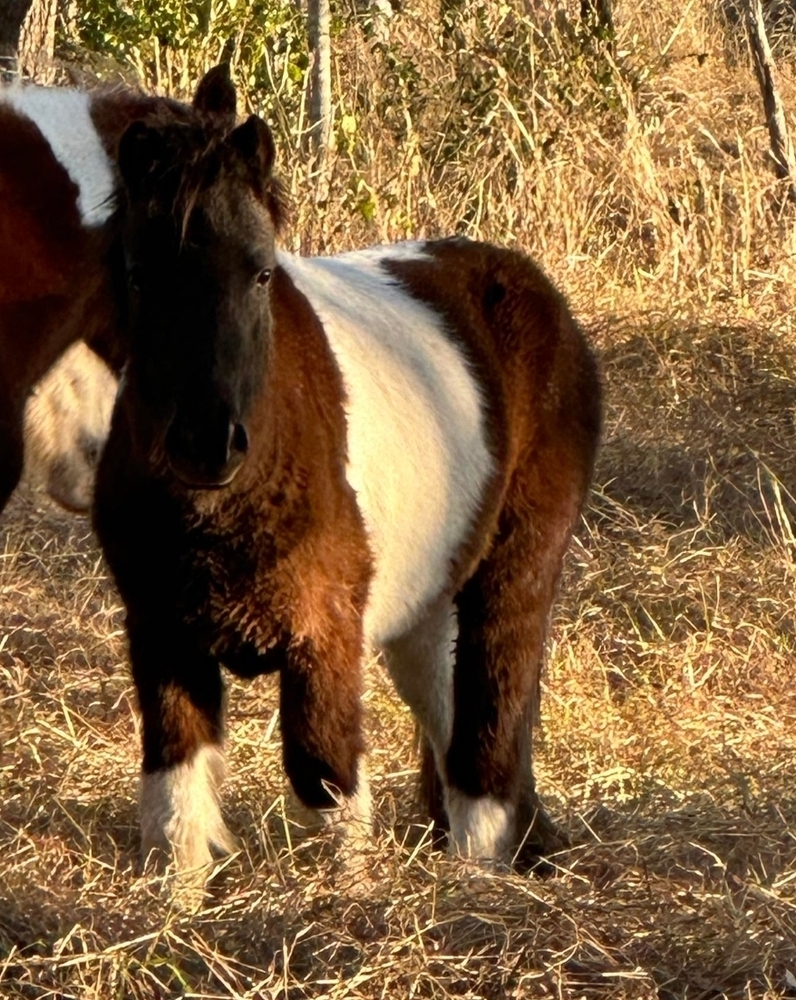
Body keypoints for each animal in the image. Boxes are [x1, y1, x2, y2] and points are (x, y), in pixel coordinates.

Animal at [93, 68, 602, 883]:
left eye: (261, 272)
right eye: (140, 277)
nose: (206, 444)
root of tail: (529, 287)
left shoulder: (323, 635)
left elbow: (325, 780)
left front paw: (347, 900)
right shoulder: (163, 633)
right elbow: (173, 805)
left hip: (516, 568)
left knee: (491, 719)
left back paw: (479, 871)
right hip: (426, 599)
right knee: (448, 710)